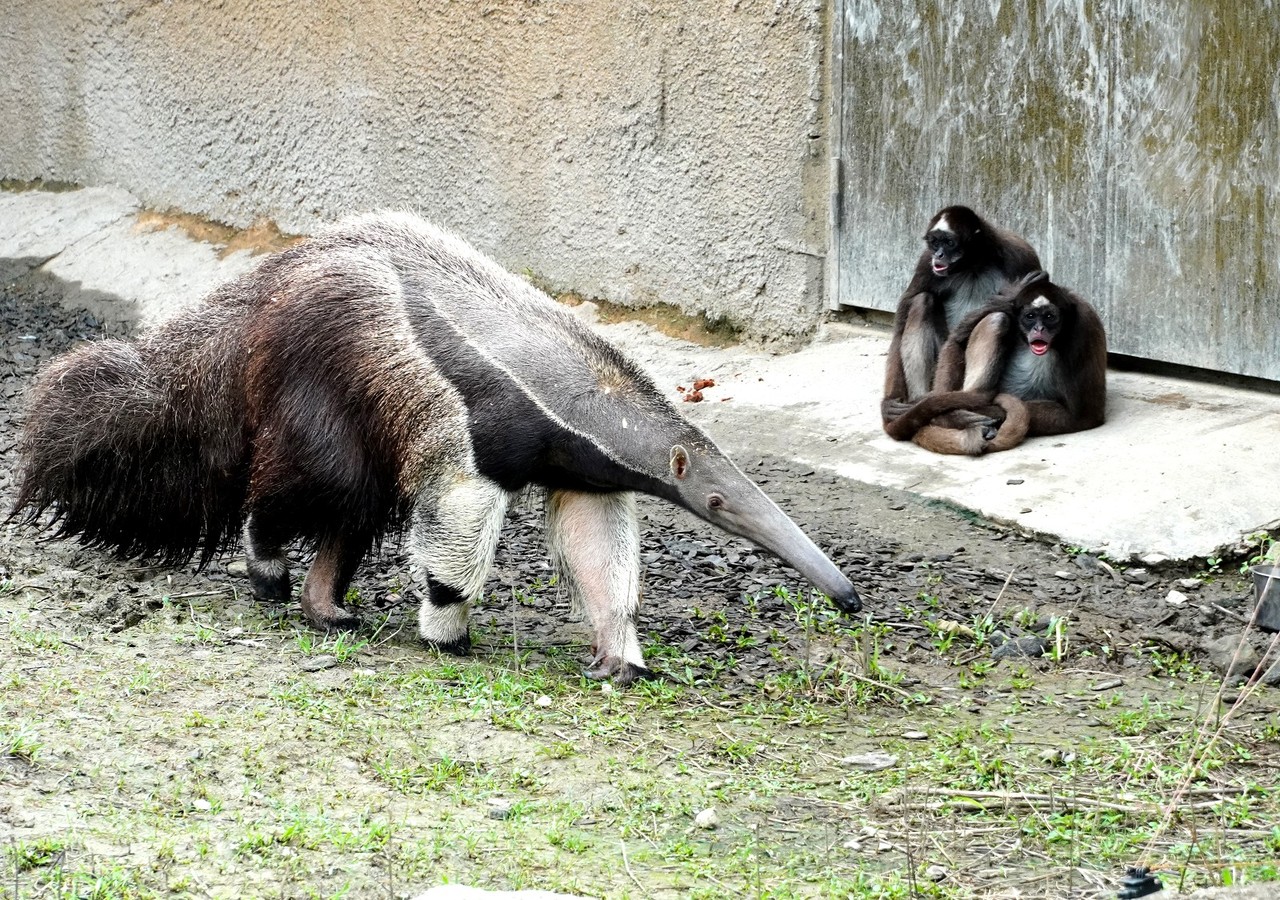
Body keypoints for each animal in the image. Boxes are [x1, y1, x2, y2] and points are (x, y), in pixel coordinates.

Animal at [12, 215, 860, 686]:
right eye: (718, 501)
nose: (848, 598)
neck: (562, 381)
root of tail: (268, 287)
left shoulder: (580, 466)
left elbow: (596, 541)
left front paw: (620, 655)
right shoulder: (469, 415)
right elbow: (458, 517)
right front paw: (448, 632)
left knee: (351, 504)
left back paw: (329, 607)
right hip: (323, 373)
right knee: (313, 483)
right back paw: (268, 569)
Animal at [885, 206, 1044, 430]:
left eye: (949, 242)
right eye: (935, 242)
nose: (939, 254)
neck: (974, 265)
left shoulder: (1020, 254)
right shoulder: (926, 262)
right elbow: (899, 328)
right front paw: (889, 403)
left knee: (997, 319)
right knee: (923, 300)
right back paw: (922, 404)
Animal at [890, 272, 1111, 458]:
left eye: (1050, 317)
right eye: (1030, 317)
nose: (1039, 329)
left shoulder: (1084, 324)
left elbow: (1083, 416)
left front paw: (950, 417)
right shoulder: (1009, 302)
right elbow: (956, 342)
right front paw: (952, 416)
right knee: (997, 319)